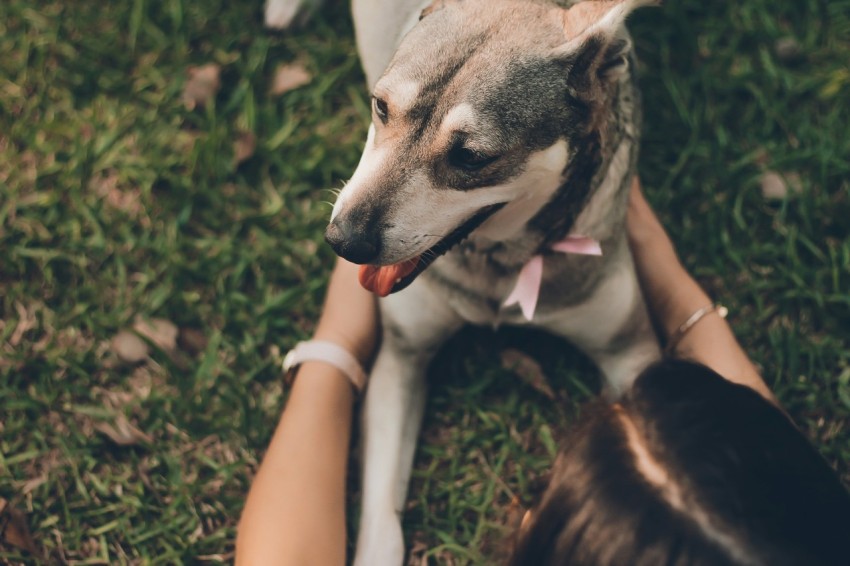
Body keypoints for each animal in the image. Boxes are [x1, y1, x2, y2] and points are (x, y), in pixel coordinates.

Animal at [282, 0, 660, 564]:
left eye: (472, 157)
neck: (499, 263)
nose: (343, 241)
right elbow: (382, 516)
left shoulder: (629, 350)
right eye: (380, 107)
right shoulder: (401, 358)